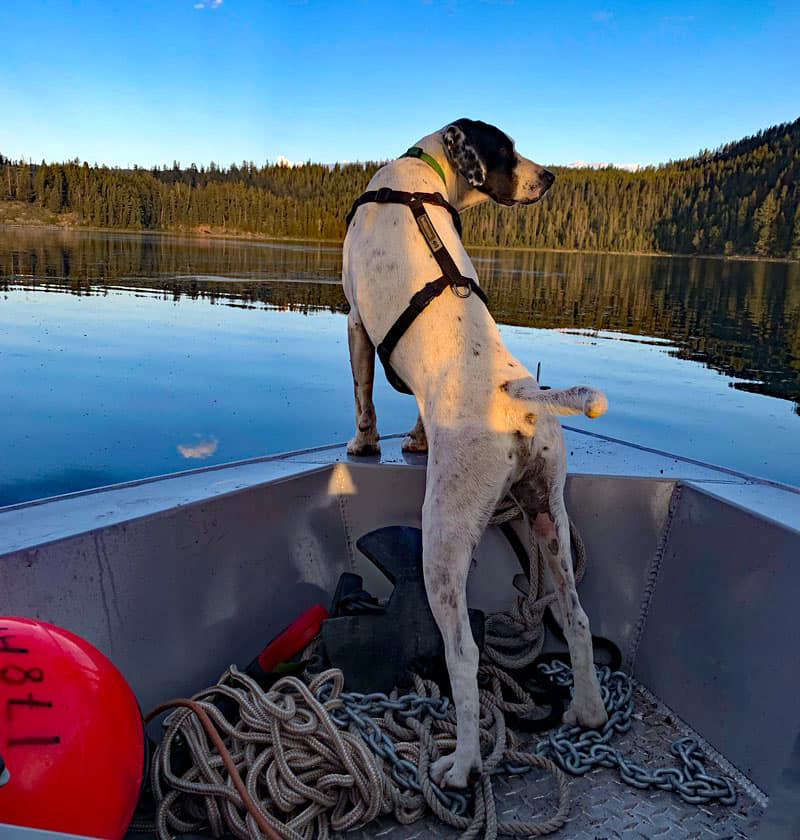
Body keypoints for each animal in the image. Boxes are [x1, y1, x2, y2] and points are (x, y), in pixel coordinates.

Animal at [340, 118, 608, 788]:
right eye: (507, 149)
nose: (552, 176)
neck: (420, 178)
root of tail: (518, 399)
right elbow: (412, 410)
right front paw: (413, 441)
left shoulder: (354, 320)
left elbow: (363, 395)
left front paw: (363, 444)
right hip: (548, 514)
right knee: (576, 617)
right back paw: (588, 710)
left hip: (443, 539)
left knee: (462, 653)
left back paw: (461, 763)